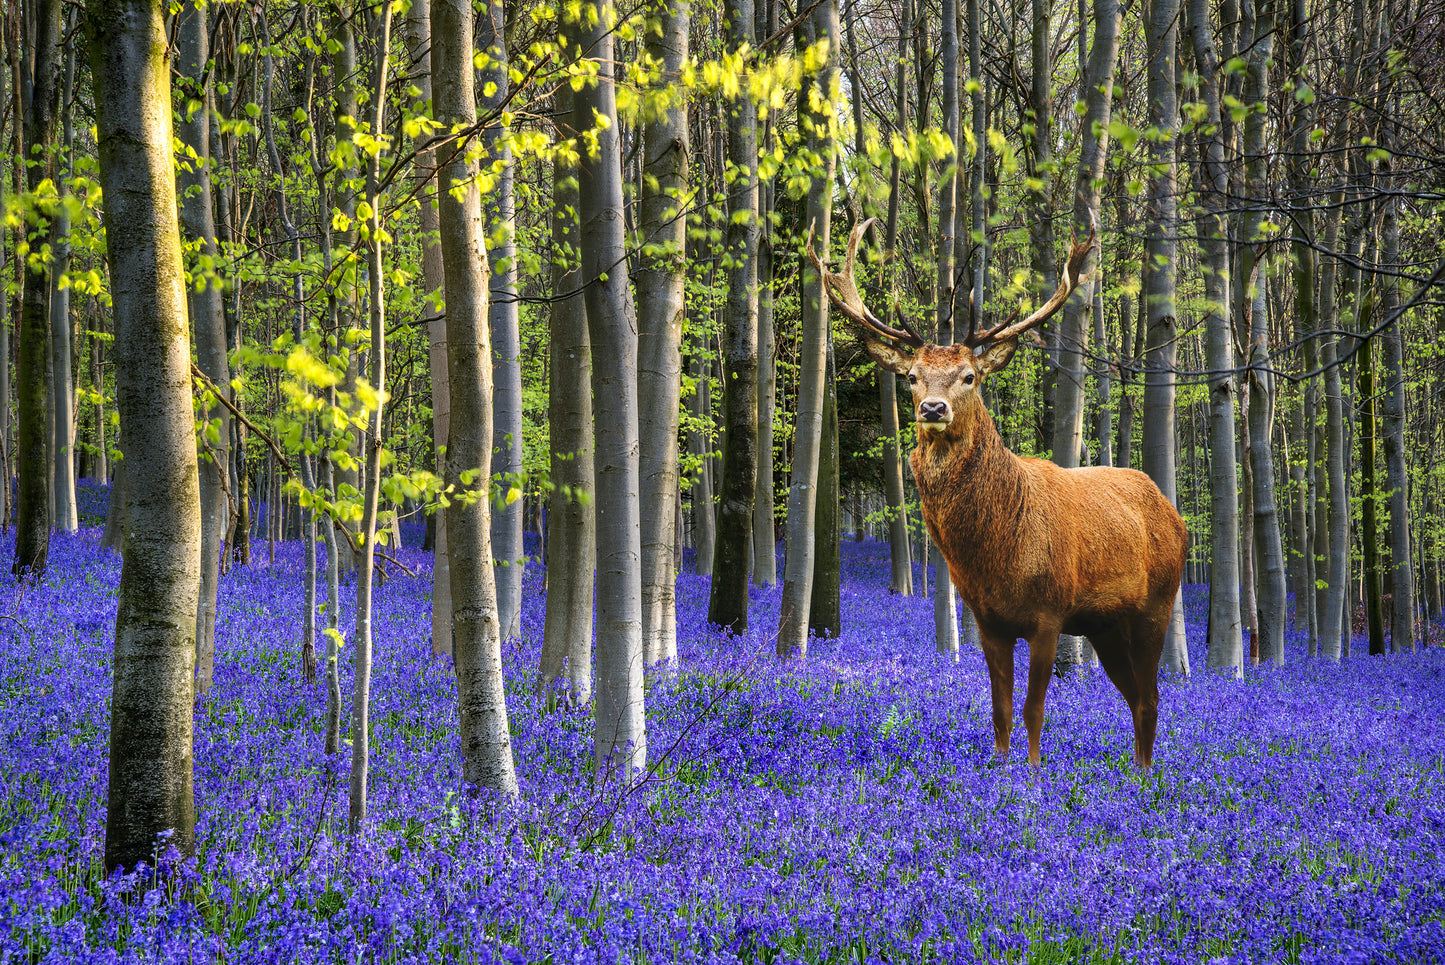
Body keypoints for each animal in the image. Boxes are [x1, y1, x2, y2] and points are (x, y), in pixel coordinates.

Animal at [808, 219, 1186, 768]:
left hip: (1156, 604)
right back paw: (1136, 773)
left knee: (1152, 697)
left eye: (970, 376)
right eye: (912, 376)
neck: (999, 554)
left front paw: (1030, 776)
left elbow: (1033, 710)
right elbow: (1001, 711)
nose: (933, 408)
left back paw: (1145, 777)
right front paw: (1002, 770)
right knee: (1136, 697)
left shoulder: (1050, 613)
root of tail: (1172, 514)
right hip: (1105, 626)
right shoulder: (988, 620)